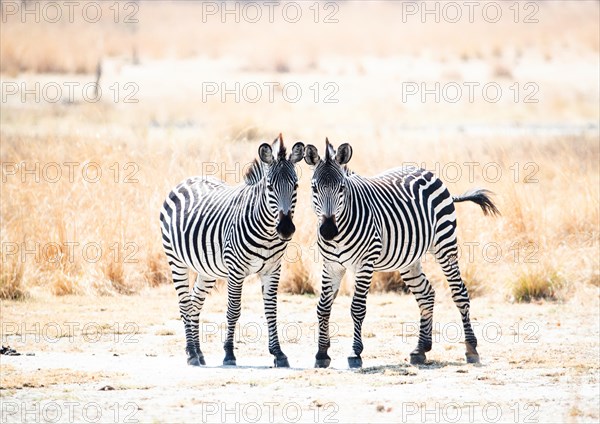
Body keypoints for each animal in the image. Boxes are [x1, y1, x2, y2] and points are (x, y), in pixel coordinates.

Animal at [159, 135, 304, 368]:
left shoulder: (272, 270)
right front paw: (228, 353)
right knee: (184, 303)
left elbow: (271, 310)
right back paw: (191, 353)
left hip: (206, 270)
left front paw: (279, 353)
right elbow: (233, 310)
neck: (267, 232)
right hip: (176, 261)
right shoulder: (236, 270)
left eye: (296, 185)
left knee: (195, 302)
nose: (286, 229)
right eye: (270, 186)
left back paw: (198, 352)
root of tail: (188, 180)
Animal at [304, 139, 496, 368]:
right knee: (426, 294)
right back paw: (420, 349)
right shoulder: (331, 266)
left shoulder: (365, 264)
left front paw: (355, 353)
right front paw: (322, 353)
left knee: (460, 293)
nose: (328, 231)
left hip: (445, 244)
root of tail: (428, 172)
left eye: (341, 188)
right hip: (408, 260)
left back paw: (471, 348)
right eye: (314, 187)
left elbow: (357, 308)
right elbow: (323, 307)